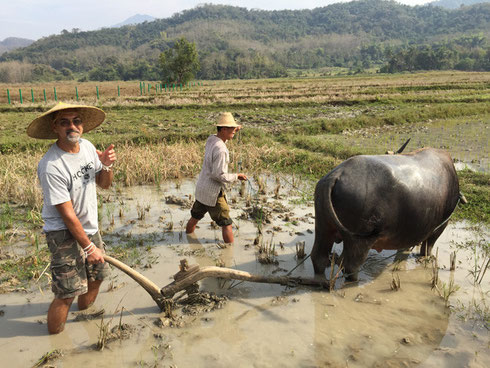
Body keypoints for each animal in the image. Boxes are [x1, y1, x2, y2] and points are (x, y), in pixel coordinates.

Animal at [312, 148, 462, 280]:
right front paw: (427, 258)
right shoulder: (440, 226)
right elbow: (428, 246)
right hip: (359, 240)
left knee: (319, 257)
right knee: (350, 265)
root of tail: (336, 175)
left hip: (323, 228)